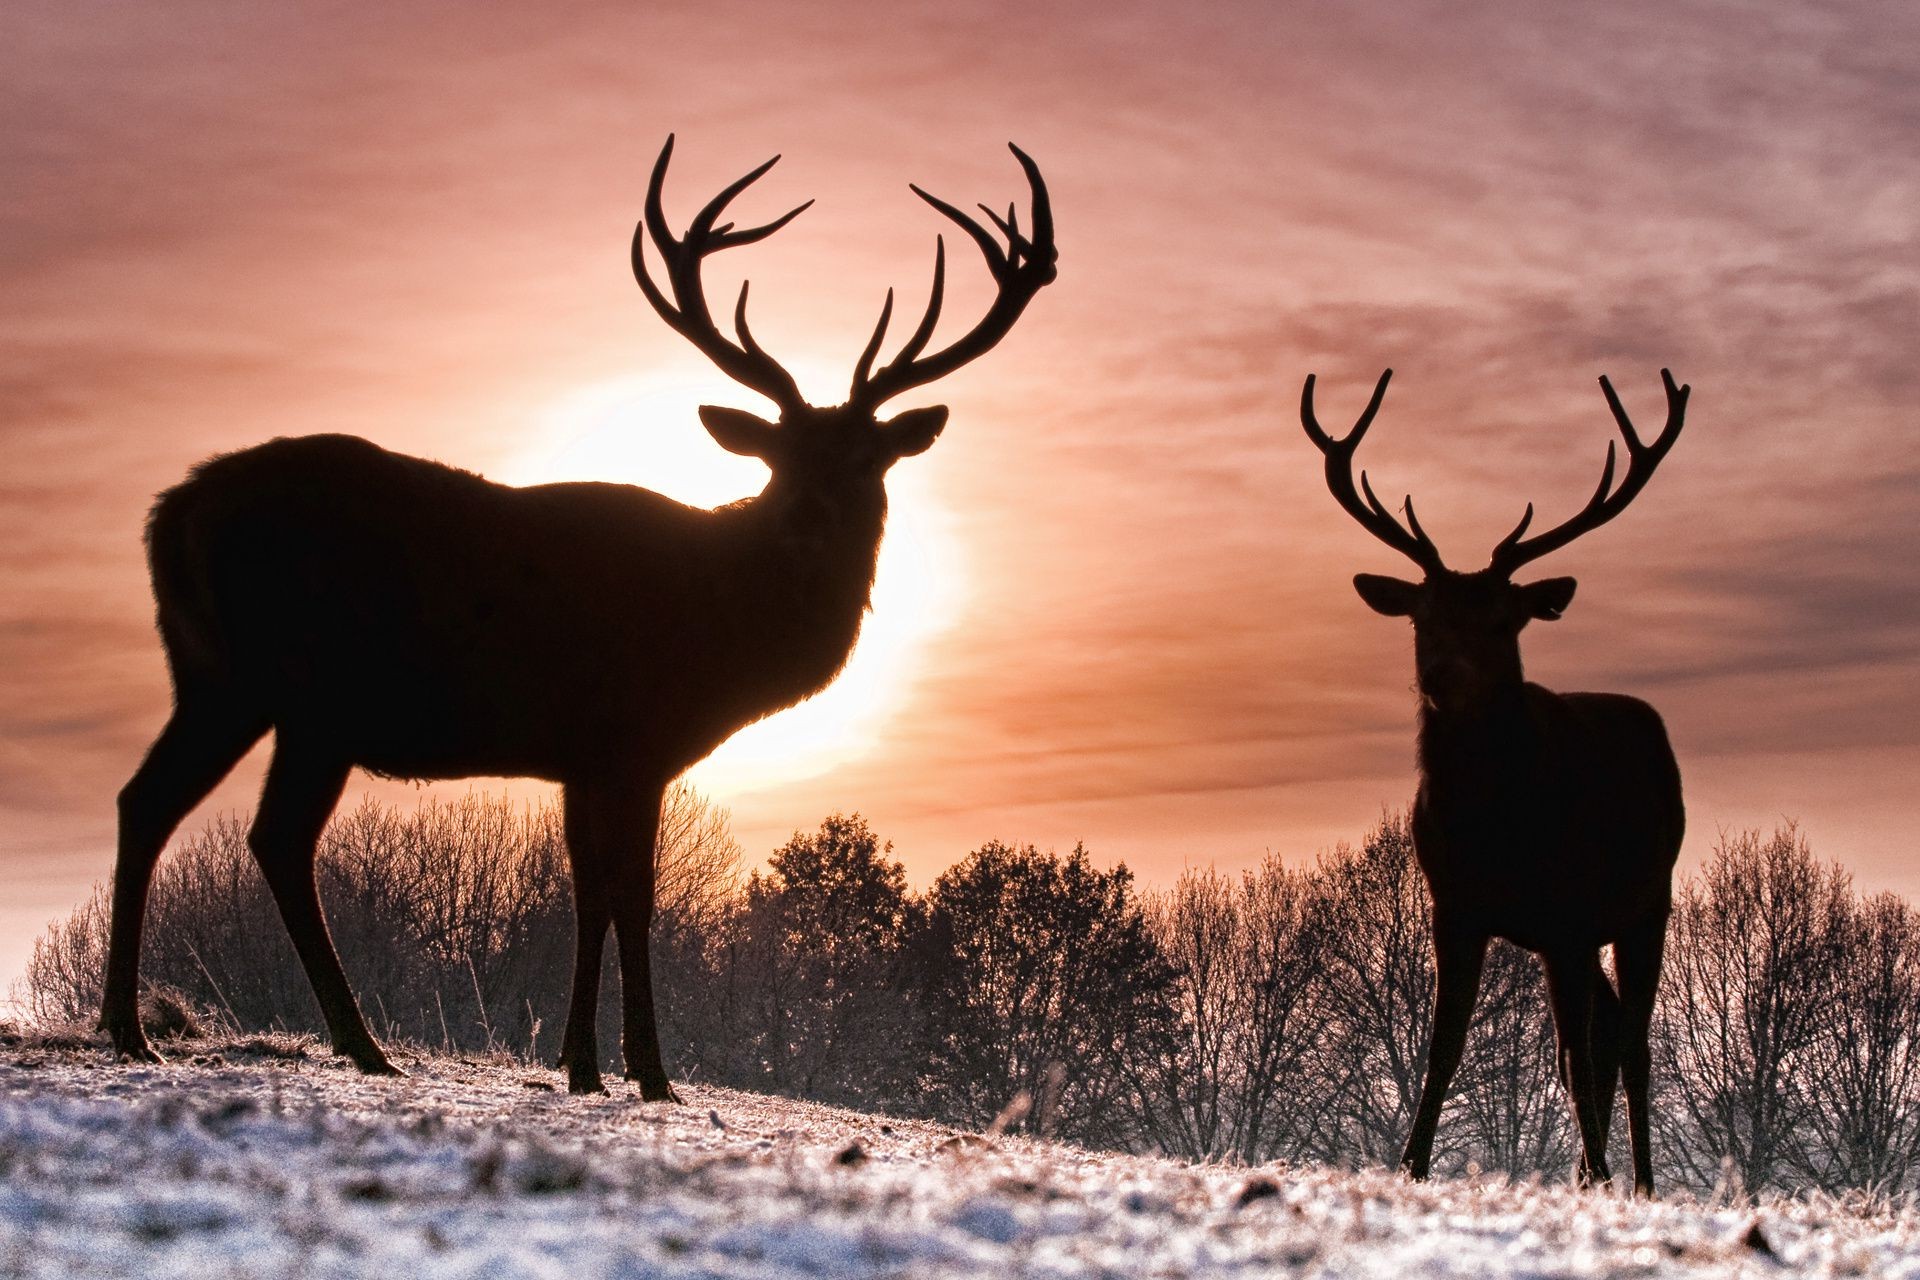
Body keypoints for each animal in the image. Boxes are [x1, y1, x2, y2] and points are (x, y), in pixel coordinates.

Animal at [97, 138, 1059, 1105]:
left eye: (866, 459)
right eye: (779, 456)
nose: (806, 520)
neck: (725, 631)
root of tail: (171, 512)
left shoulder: (579, 755)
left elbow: (585, 891)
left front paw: (579, 1065)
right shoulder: (635, 737)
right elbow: (632, 894)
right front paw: (650, 1071)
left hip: (218, 677)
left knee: (151, 800)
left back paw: (134, 1029)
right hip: (311, 691)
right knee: (273, 835)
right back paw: (350, 1043)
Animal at [1297, 364, 1689, 1197]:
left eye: (1505, 621)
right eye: (1422, 616)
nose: (1442, 675)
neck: (1497, 826)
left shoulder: (1570, 913)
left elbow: (1573, 1055)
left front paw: (1602, 1174)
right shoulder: (1457, 905)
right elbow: (1444, 1046)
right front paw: (1409, 1165)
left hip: (1648, 900)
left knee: (1630, 1043)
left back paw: (1636, 1179)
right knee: (1609, 1032)